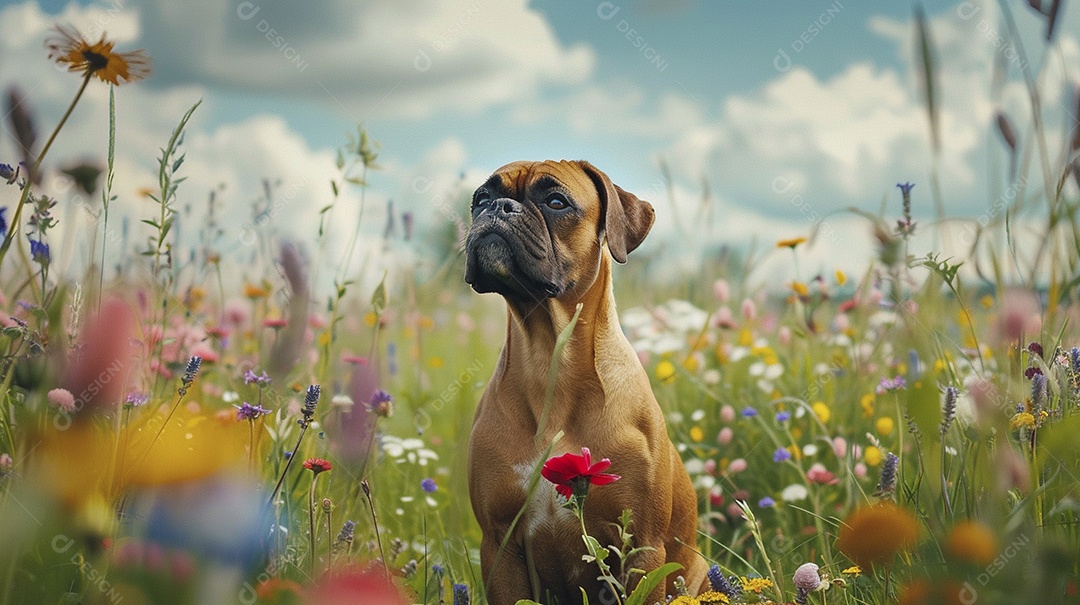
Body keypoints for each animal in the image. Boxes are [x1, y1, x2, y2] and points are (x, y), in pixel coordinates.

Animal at [464, 160, 708, 605]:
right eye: (481, 199)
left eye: (556, 201)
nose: (499, 207)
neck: (549, 359)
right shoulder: (499, 545)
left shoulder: (642, 546)